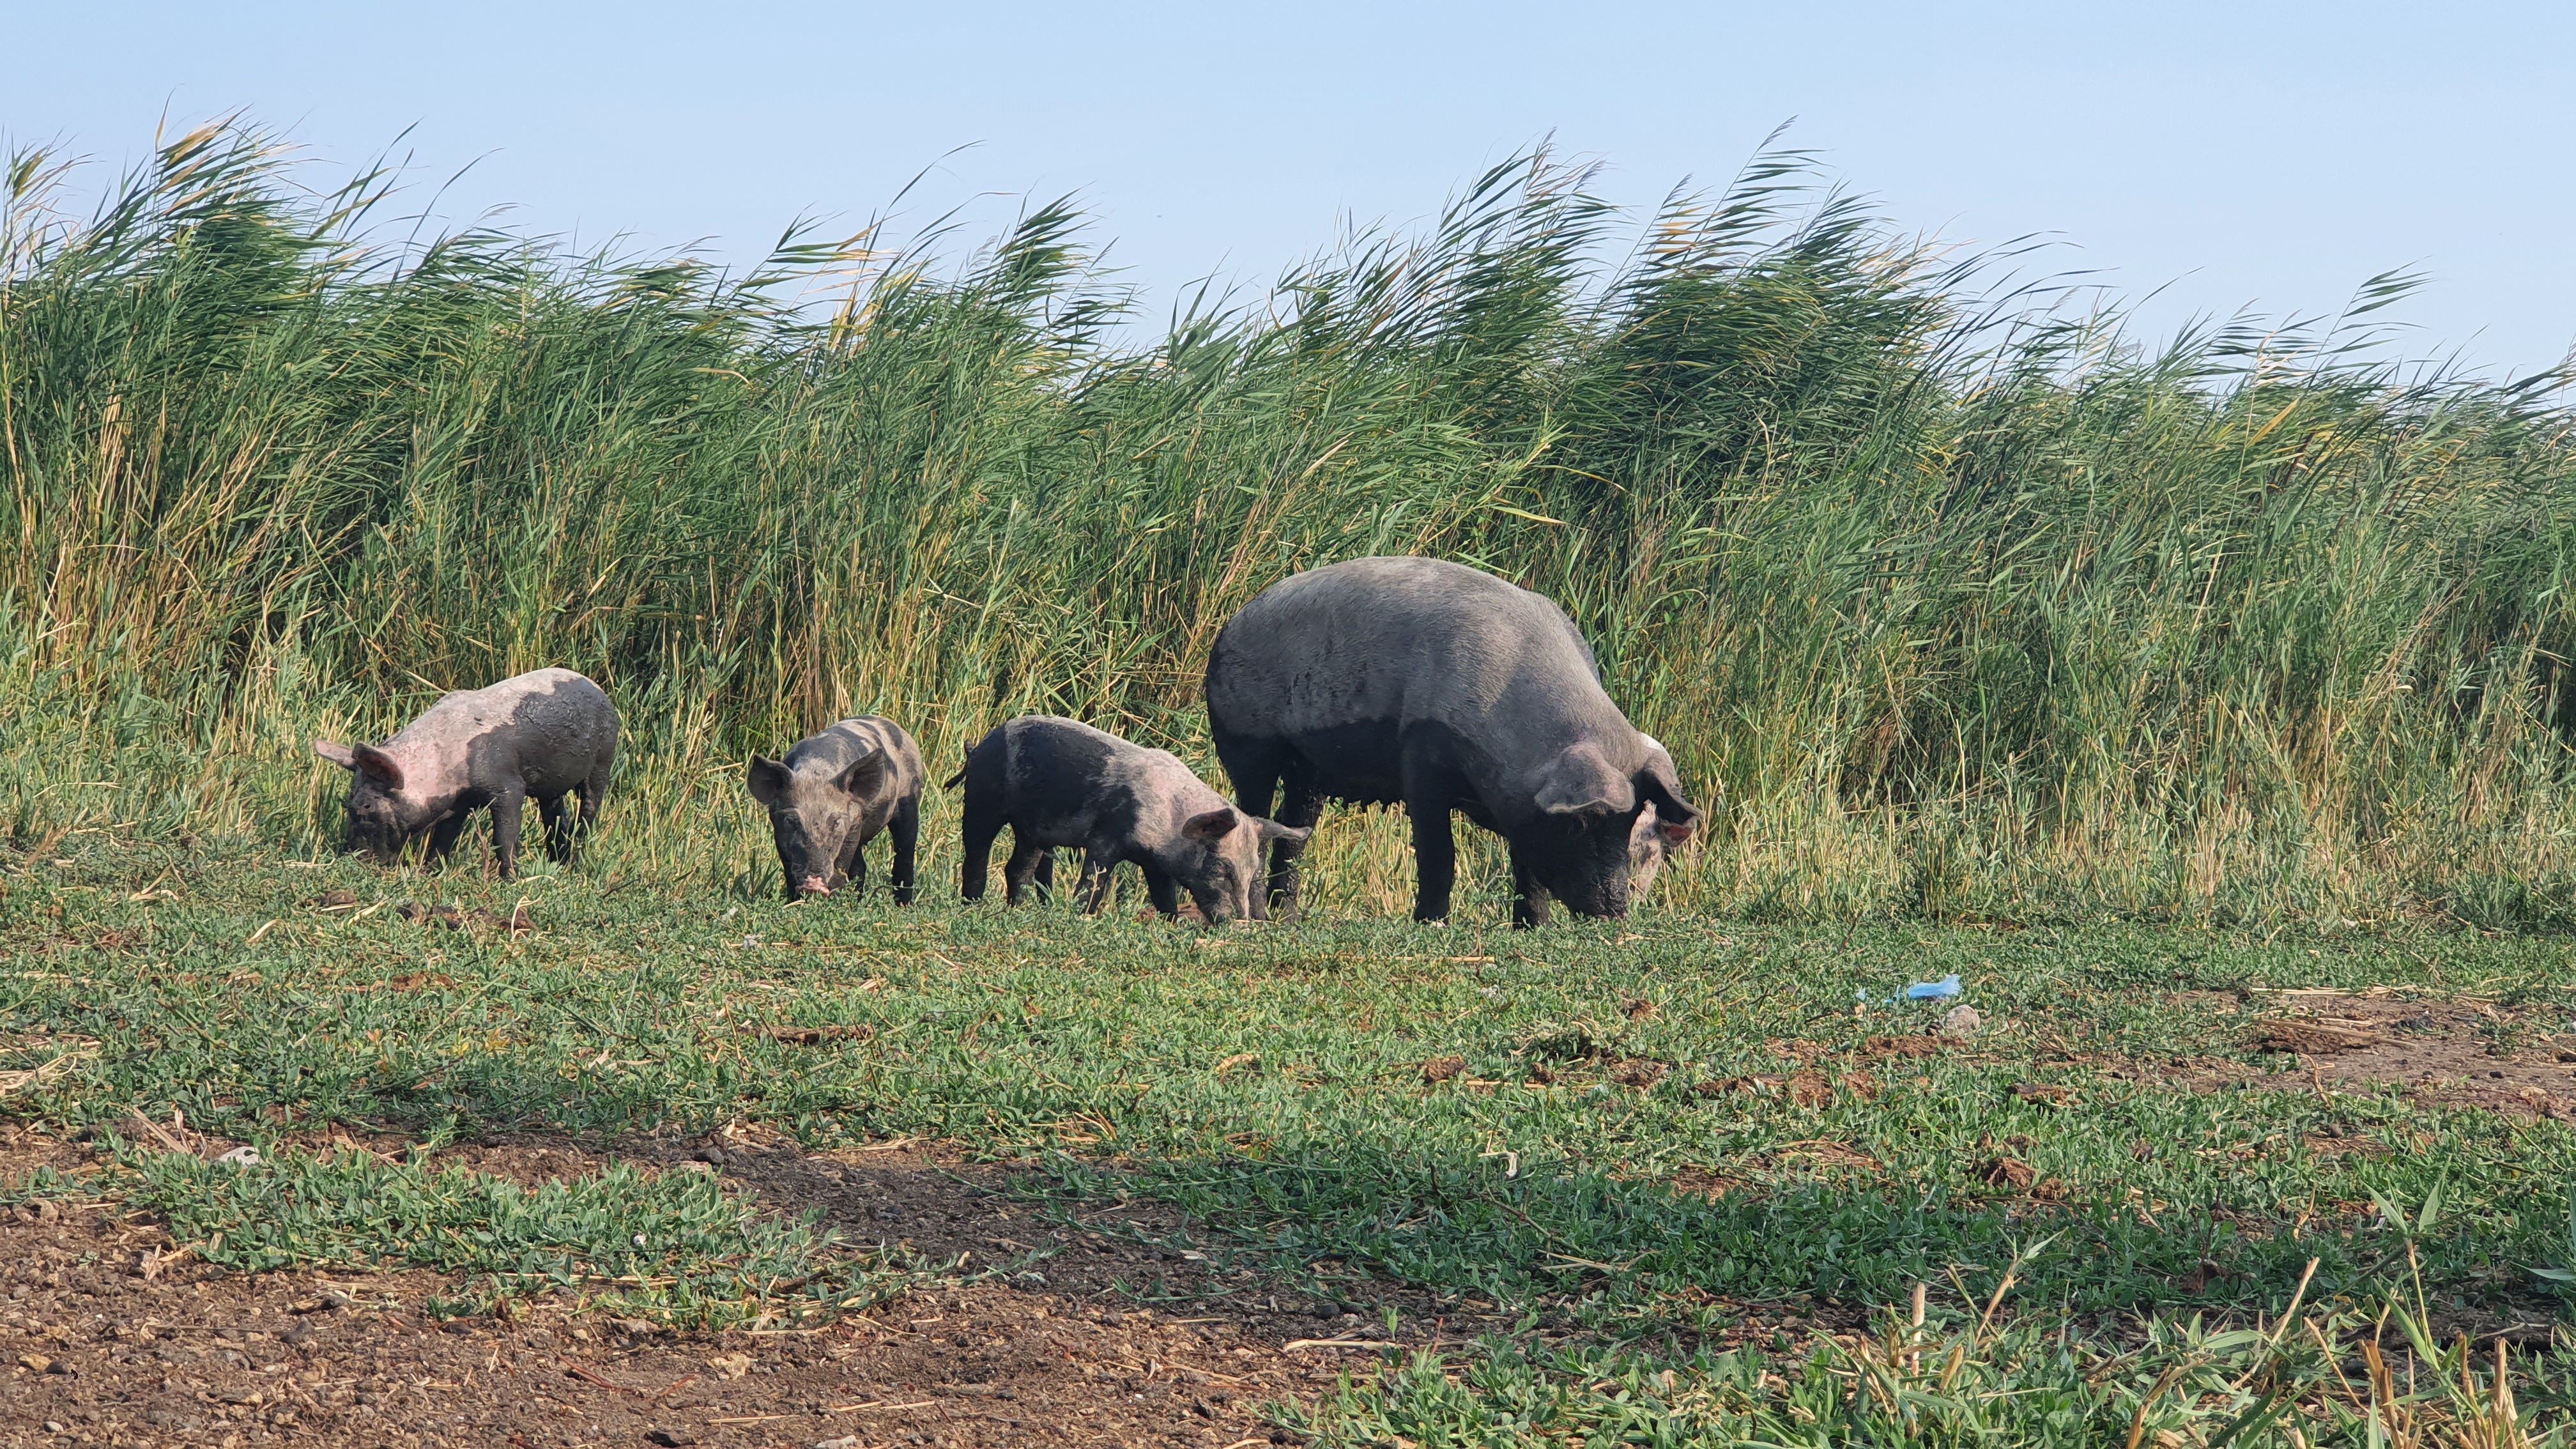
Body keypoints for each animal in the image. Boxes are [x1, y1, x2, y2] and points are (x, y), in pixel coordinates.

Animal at [314, 665, 620, 882]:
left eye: (366, 806)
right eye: (349, 798)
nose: (353, 858)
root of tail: (601, 690)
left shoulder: (508, 784)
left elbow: (505, 835)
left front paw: (510, 881)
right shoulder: (456, 802)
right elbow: (443, 837)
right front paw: (431, 872)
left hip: (604, 758)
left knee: (589, 809)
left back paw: (575, 863)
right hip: (552, 786)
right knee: (556, 815)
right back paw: (559, 863)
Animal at [747, 711, 927, 902]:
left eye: (836, 823)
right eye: (792, 821)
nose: (814, 885)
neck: (816, 770)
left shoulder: (854, 822)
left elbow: (841, 865)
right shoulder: (777, 828)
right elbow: (788, 867)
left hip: (910, 798)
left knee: (905, 853)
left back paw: (903, 904)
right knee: (861, 867)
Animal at [953, 711, 1308, 923]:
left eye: (1252, 872)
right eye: (1220, 867)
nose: (1240, 922)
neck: (1169, 822)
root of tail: (980, 746)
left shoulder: (1156, 862)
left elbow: (1164, 896)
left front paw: (1173, 922)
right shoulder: (1106, 837)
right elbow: (1095, 879)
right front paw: (1082, 916)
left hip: (1031, 830)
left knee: (1017, 868)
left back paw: (1017, 909)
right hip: (982, 800)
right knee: (976, 852)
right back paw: (974, 904)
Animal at [1200, 554, 1700, 923]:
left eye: (1630, 819)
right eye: (1581, 823)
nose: (1615, 912)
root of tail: (1231, 624)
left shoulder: (1521, 805)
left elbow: (1527, 867)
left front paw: (1534, 927)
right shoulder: (1421, 757)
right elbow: (1439, 853)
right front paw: (1431, 923)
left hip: (1309, 770)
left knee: (1296, 833)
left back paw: (1289, 920)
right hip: (1246, 744)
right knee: (1256, 816)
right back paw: (1260, 920)